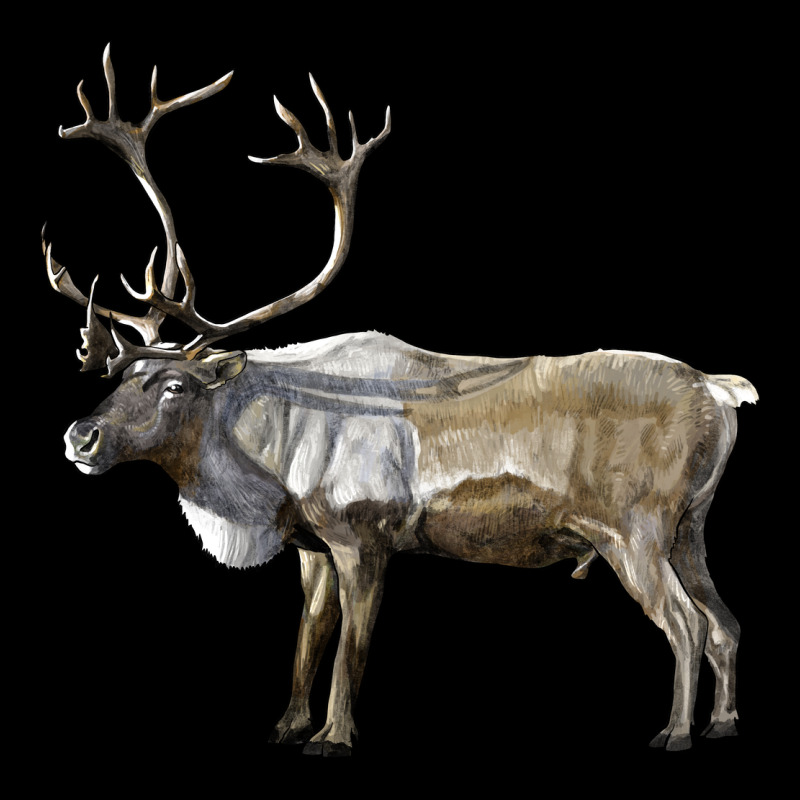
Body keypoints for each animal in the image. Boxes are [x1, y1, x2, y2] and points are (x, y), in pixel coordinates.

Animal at [44, 45, 756, 756]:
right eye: (116, 378)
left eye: (174, 386)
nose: (80, 436)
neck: (272, 458)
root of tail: (720, 390)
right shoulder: (313, 546)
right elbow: (308, 638)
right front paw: (287, 726)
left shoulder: (365, 536)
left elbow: (350, 651)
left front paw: (332, 737)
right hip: (690, 526)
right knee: (726, 623)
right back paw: (721, 722)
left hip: (635, 530)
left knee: (687, 625)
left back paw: (674, 733)